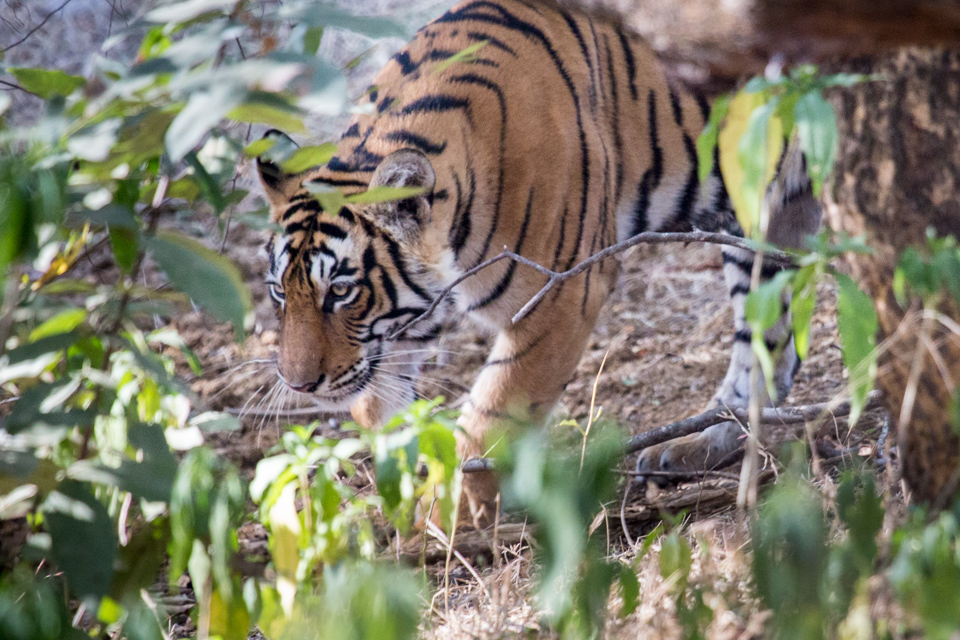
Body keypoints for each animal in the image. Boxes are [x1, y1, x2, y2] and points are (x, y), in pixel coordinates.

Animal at [254, 0, 822, 526]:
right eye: (280, 291)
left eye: (341, 291)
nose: (299, 385)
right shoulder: (392, 340)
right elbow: (383, 411)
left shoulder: (560, 294)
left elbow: (493, 414)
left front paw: (454, 516)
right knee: (768, 346)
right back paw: (701, 442)